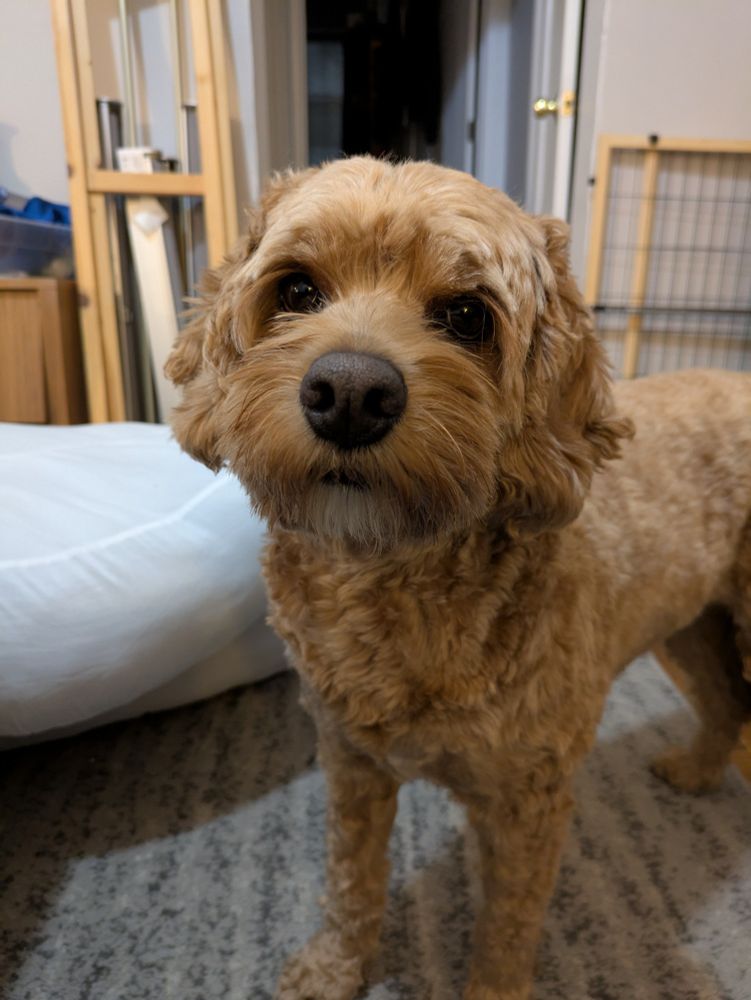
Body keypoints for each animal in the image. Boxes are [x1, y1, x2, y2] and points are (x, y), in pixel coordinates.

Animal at [167, 158, 751, 1000]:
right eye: (297, 289)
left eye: (468, 316)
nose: (349, 393)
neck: (394, 573)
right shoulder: (350, 763)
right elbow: (351, 880)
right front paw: (334, 968)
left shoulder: (526, 800)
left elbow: (506, 924)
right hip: (691, 623)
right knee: (725, 698)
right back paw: (698, 770)